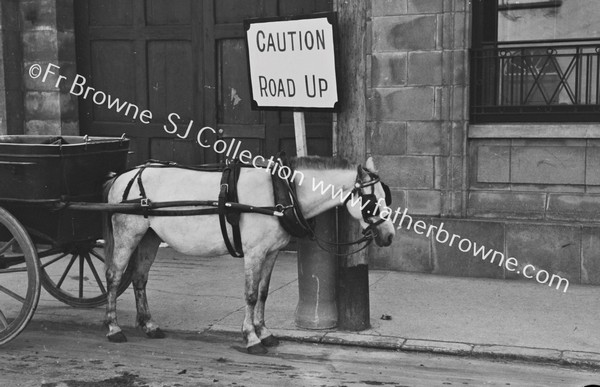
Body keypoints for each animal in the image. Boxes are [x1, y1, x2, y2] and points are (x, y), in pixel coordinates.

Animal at [103, 157, 394, 354]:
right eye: (371, 203)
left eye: (386, 197)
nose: (389, 236)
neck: (282, 193)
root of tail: (124, 175)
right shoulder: (254, 252)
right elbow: (251, 295)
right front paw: (251, 338)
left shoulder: (271, 252)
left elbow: (263, 293)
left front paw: (264, 333)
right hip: (128, 234)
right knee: (114, 276)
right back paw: (113, 327)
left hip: (149, 237)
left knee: (139, 278)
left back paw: (148, 325)